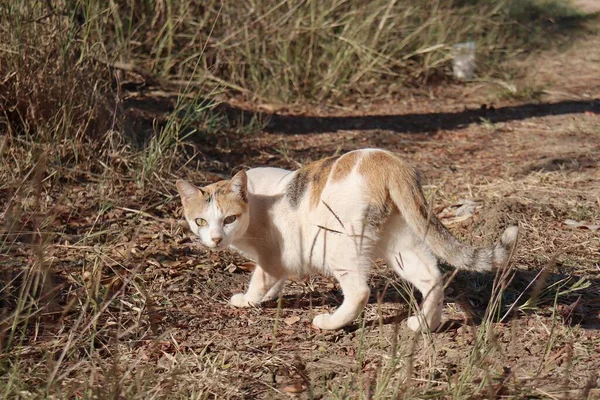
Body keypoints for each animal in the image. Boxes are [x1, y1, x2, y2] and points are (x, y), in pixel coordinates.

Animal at [176, 149, 516, 332]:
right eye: (201, 221)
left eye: (229, 219)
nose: (216, 239)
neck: (256, 201)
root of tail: (387, 160)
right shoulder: (280, 259)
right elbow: (275, 281)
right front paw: (267, 296)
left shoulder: (271, 255)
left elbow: (260, 279)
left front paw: (248, 300)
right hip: (400, 243)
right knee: (433, 277)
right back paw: (423, 325)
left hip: (339, 245)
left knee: (360, 291)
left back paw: (330, 322)